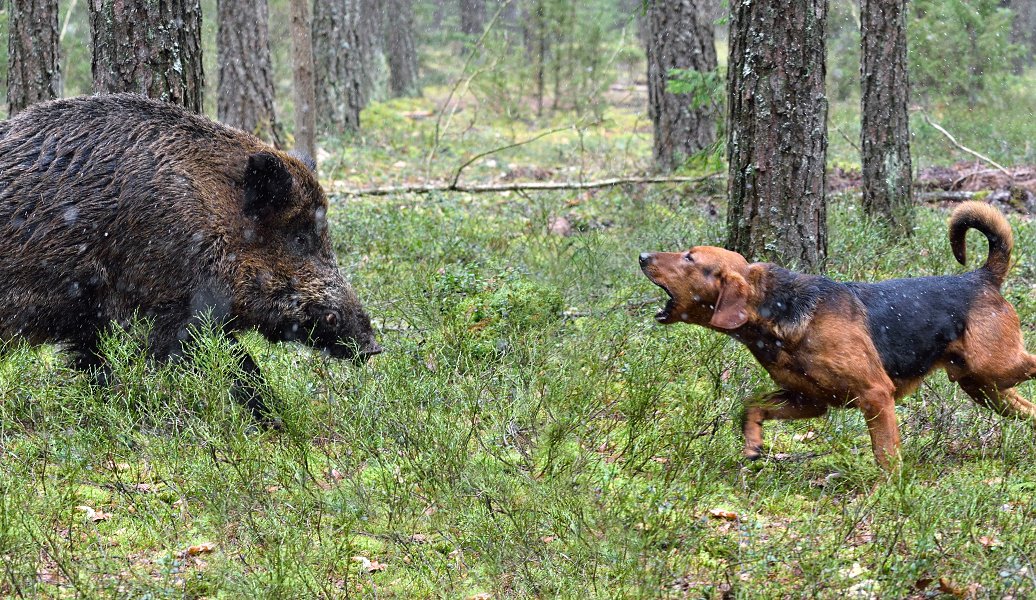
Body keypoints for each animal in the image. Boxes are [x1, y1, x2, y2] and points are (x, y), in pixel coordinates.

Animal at [638, 202, 1036, 470]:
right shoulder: (809, 401)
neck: (776, 311)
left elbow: (886, 455)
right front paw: (753, 444)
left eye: (690, 258)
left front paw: (888, 495)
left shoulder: (875, 395)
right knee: (1029, 409)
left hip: (995, 367)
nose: (641, 256)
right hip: (984, 387)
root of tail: (982, 277)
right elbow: (751, 406)